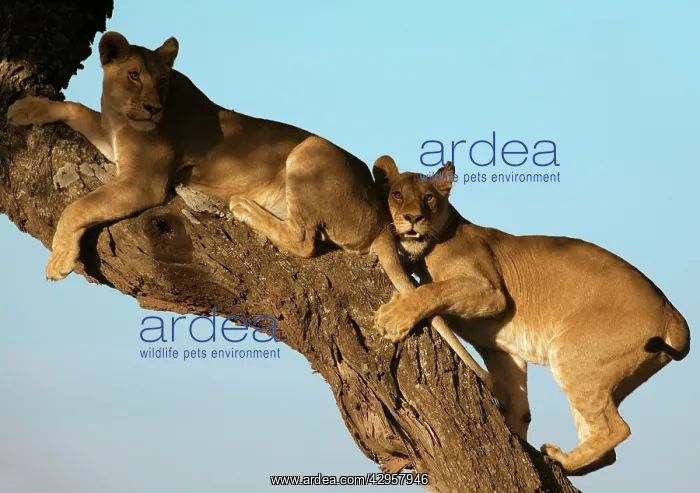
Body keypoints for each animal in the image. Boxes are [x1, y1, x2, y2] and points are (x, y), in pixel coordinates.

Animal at [6, 32, 489, 383]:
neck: (122, 115)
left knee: (304, 240)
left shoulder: (144, 182)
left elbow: (79, 206)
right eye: (133, 75)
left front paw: (59, 259)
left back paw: (244, 207)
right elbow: (73, 108)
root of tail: (380, 218)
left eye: (161, 81)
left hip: (307, 151)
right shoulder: (114, 144)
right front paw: (25, 108)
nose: (152, 107)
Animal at [372, 160, 690, 475]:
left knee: (616, 428)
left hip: (572, 354)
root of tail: (672, 312)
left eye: (428, 197)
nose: (413, 217)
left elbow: (431, 289)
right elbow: (518, 407)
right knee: (605, 444)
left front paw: (391, 319)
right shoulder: (503, 351)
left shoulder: (490, 291)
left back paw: (561, 459)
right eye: (397, 194)